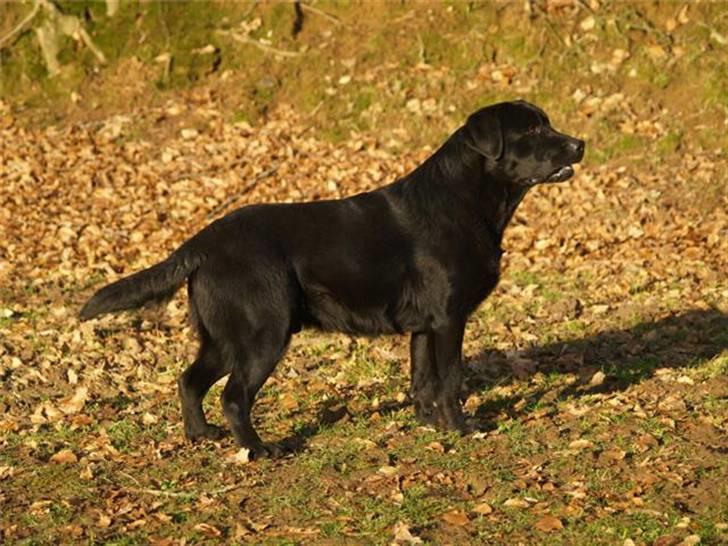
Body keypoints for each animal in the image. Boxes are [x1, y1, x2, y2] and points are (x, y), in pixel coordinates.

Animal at [79, 101, 584, 454]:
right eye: (532, 130)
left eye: (547, 122)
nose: (580, 144)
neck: (466, 202)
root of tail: (202, 241)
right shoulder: (448, 318)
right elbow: (451, 380)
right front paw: (462, 429)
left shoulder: (424, 325)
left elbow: (423, 380)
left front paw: (429, 424)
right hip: (263, 333)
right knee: (233, 396)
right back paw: (260, 450)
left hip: (224, 338)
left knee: (189, 381)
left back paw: (201, 436)